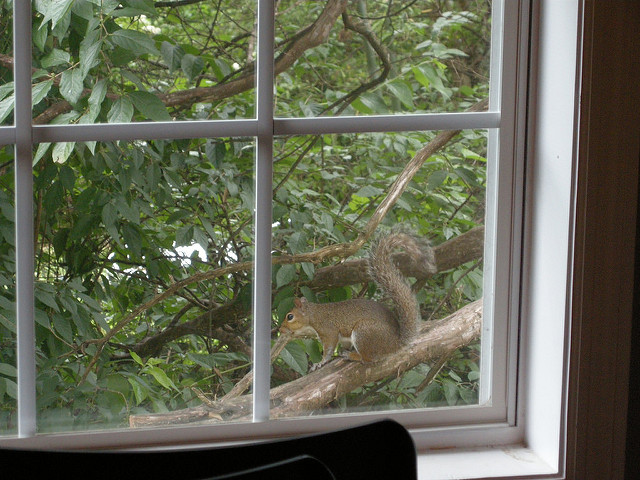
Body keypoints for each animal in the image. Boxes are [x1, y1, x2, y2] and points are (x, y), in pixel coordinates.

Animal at [280, 231, 437, 370]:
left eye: (290, 316)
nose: (281, 329)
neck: (313, 315)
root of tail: (396, 343)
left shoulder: (328, 331)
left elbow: (329, 349)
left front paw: (320, 363)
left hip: (364, 332)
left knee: (368, 359)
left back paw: (353, 356)